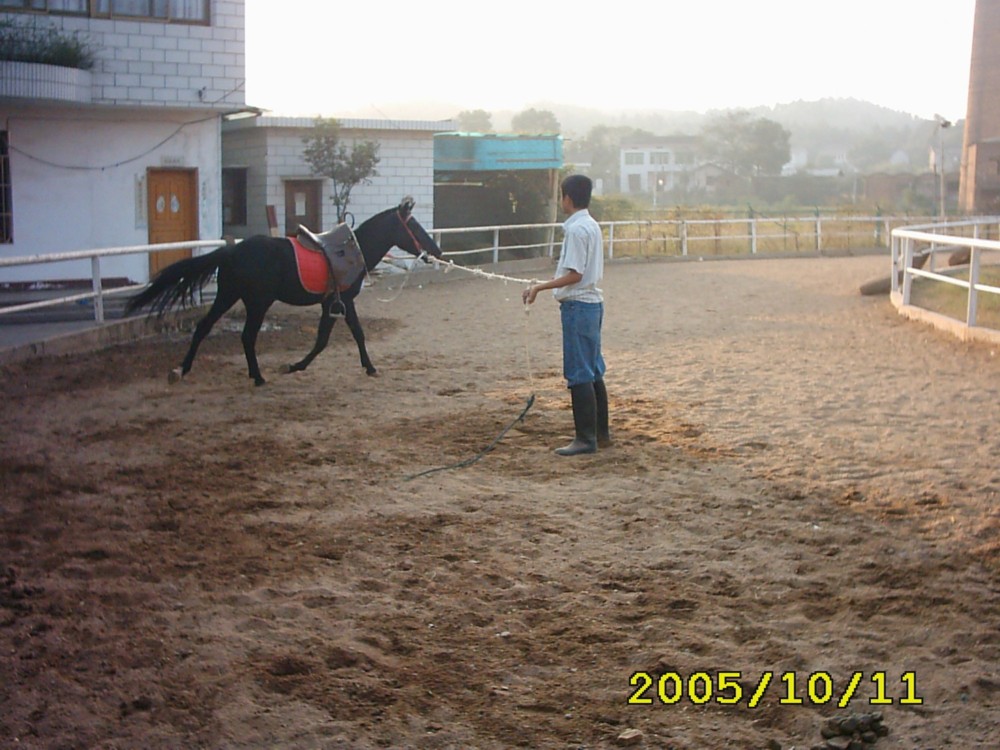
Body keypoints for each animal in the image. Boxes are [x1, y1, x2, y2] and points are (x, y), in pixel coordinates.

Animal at [127, 198, 440, 388]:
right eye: (413, 225)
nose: (436, 250)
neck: (354, 250)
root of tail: (232, 251)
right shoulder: (339, 301)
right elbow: (335, 338)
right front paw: (297, 365)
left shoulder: (336, 303)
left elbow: (340, 336)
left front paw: (366, 366)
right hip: (257, 302)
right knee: (246, 336)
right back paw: (257, 377)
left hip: (228, 295)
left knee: (204, 327)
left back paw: (183, 369)